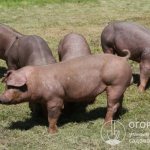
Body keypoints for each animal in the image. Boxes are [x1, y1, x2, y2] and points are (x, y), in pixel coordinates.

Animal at [0, 52, 131, 134]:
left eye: (11, 86)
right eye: (6, 86)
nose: (1, 98)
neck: (36, 81)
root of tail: (123, 58)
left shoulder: (55, 98)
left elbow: (52, 115)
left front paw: (51, 133)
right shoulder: (44, 100)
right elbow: (45, 112)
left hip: (115, 84)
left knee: (112, 105)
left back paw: (106, 124)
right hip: (121, 86)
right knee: (120, 101)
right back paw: (118, 117)